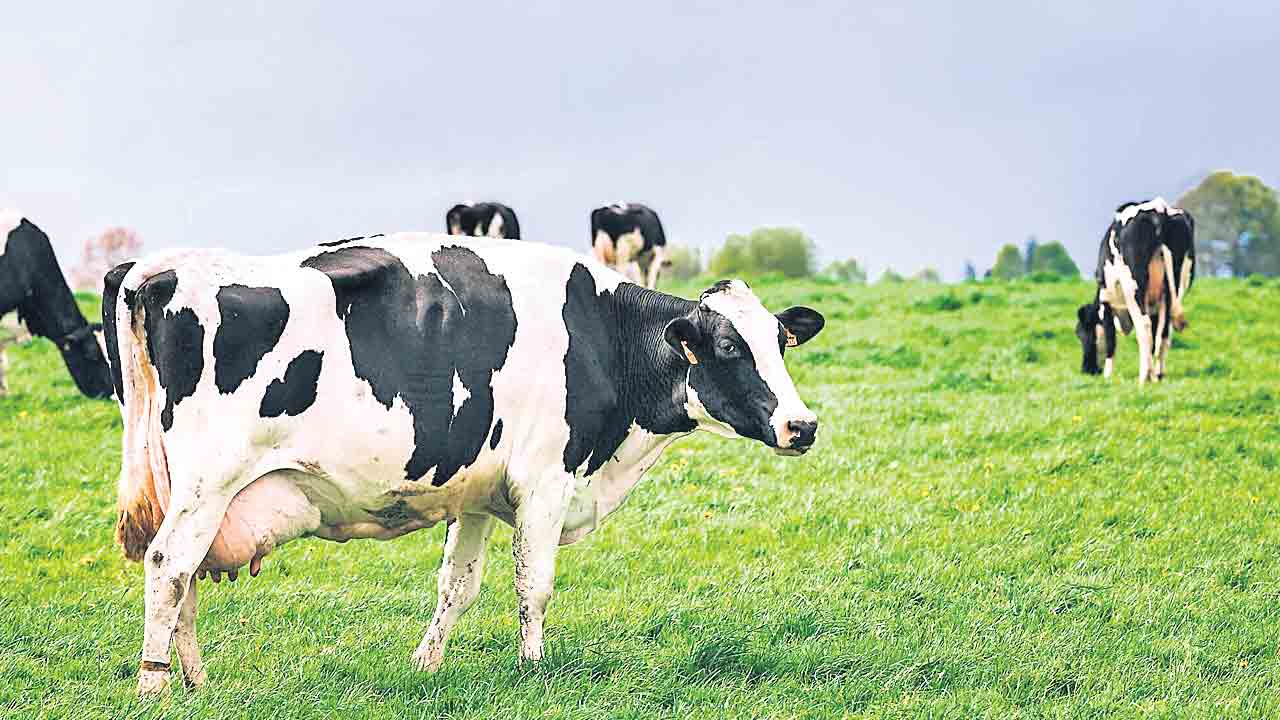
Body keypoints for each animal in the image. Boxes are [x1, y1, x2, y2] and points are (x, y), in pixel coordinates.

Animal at [104, 234, 825, 695]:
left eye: (782, 342)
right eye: (728, 346)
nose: (803, 425)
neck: (603, 335)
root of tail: (162, 268)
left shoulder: (477, 490)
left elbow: (458, 585)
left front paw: (426, 663)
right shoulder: (545, 480)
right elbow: (534, 585)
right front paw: (533, 668)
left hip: (193, 490)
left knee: (183, 573)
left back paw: (193, 679)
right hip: (209, 481)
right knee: (168, 564)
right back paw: (153, 685)